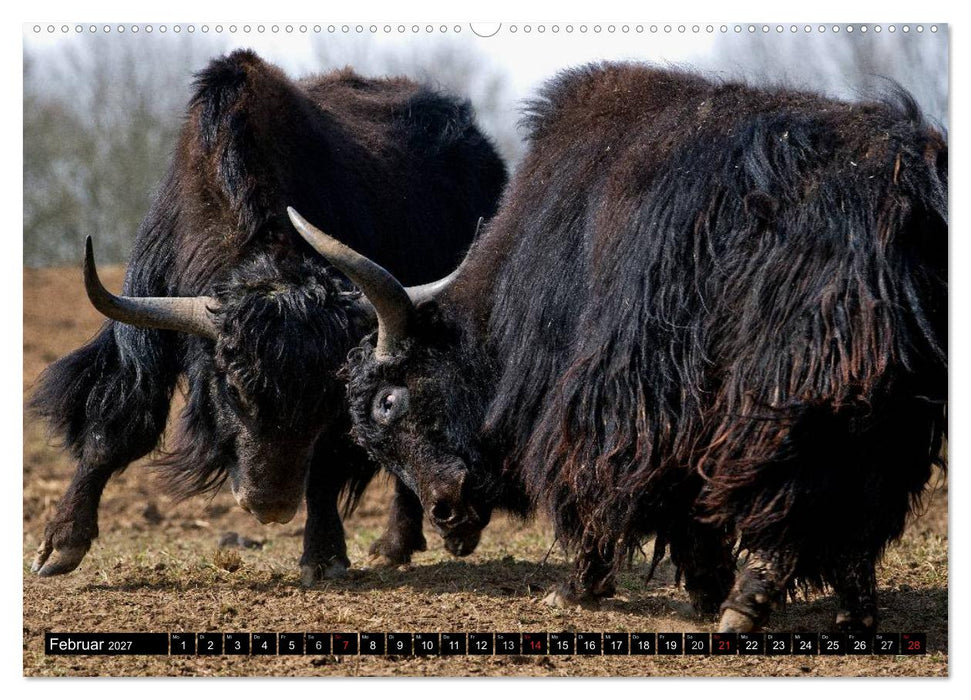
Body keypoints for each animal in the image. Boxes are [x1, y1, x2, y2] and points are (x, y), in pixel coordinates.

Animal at [28, 49, 507, 584]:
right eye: (234, 389)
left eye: (323, 397)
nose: (270, 507)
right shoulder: (143, 319)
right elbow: (116, 422)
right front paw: (58, 547)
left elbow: (328, 460)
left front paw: (324, 557)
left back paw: (399, 543)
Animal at [288, 62, 947, 631]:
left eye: (388, 403)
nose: (445, 516)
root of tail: (895, 195)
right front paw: (702, 587)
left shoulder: (620, 392)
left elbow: (599, 478)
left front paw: (581, 587)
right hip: (885, 402)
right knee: (858, 498)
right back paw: (851, 612)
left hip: (787, 387)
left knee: (790, 487)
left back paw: (748, 604)